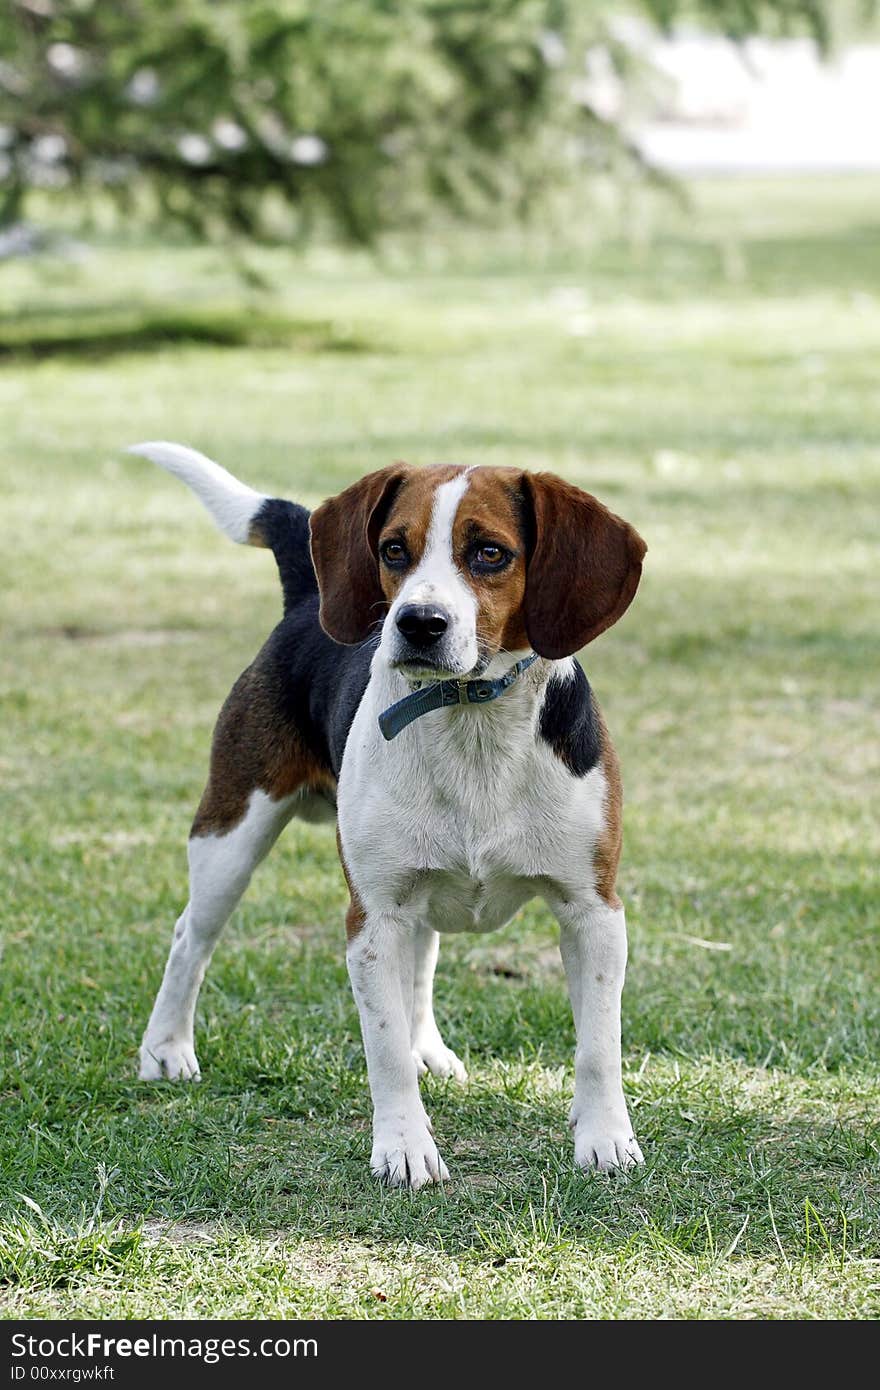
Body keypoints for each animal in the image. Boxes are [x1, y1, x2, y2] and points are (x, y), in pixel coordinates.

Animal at [134, 444, 647, 1184]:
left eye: (490, 553)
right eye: (393, 549)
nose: (417, 623)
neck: (471, 720)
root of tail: (309, 598)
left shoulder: (593, 911)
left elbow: (599, 1047)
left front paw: (605, 1139)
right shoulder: (372, 919)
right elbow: (382, 1052)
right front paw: (404, 1147)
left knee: (422, 968)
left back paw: (427, 1049)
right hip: (231, 837)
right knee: (189, 938)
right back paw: (166, 1049)